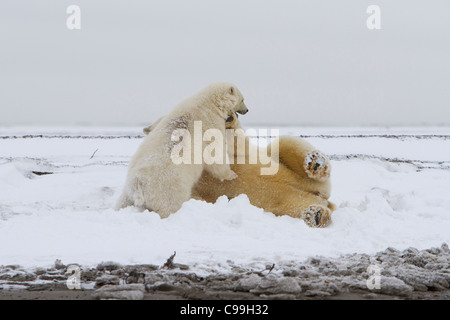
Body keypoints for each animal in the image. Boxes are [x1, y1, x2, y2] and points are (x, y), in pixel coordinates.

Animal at [115, 82, 250, 218]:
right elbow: (214, 153)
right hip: (169, 189)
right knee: (171, 206)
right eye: (243, 99)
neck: (209, 104)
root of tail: (138, 185)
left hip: (128, 192)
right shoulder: (211, 123)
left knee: (122, 202)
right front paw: (231, 175)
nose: (247, 110)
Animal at [144, 111, 334, 226]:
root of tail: (320, 195)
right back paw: (315, 214)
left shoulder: (236, 155)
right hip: (284, 206)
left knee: (283, 144)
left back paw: (315, 163)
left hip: (292, 171)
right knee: (296, 206)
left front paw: (229, 120)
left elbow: (237, 145)